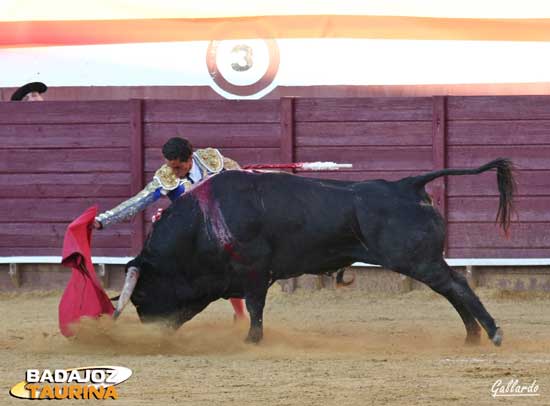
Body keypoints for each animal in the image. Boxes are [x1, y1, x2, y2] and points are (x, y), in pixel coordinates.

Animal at [117, 159, 516, 346]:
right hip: (426, 260)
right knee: (452, 289)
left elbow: (255, 307)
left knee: (457, 286)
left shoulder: (254, 271)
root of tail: (407, 184)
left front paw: (252, 340)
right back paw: (472, 336)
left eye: (142, 297)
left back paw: (491, 333)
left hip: (418, 260)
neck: (203, 223)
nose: (153, 333)